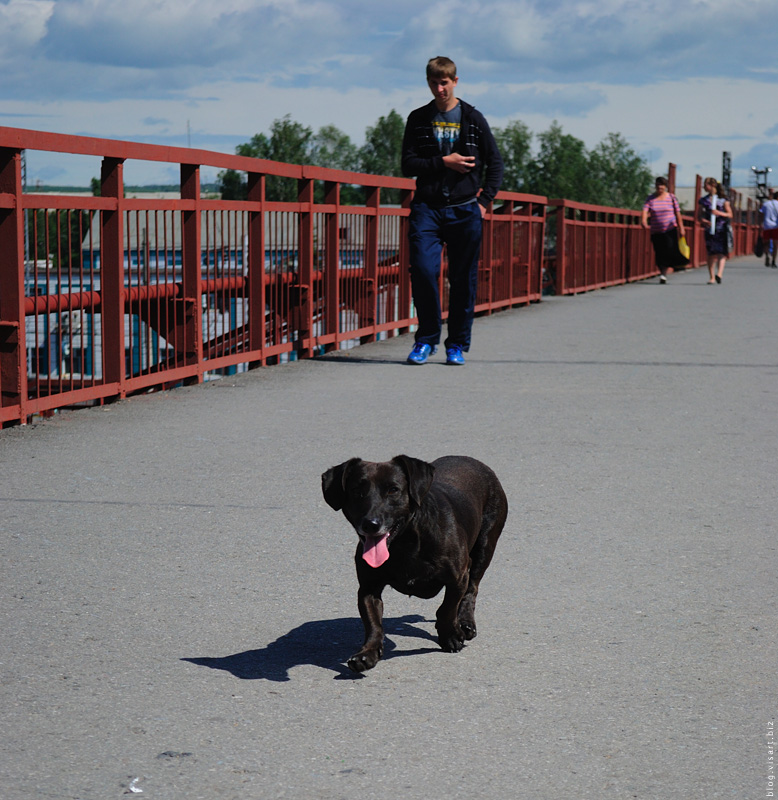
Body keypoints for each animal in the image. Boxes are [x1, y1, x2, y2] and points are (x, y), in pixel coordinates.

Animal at [320, 454, 506, 672]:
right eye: (357, 491)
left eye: (393, 490)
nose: (370, 524)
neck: (404, 544)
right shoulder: (368, 588)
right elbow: (373, 624)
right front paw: (368, 653)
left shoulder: (458, 578)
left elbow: (447, 609)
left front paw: (450, 636)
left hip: (485, 546)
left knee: (472, 589)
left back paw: (466, 622)